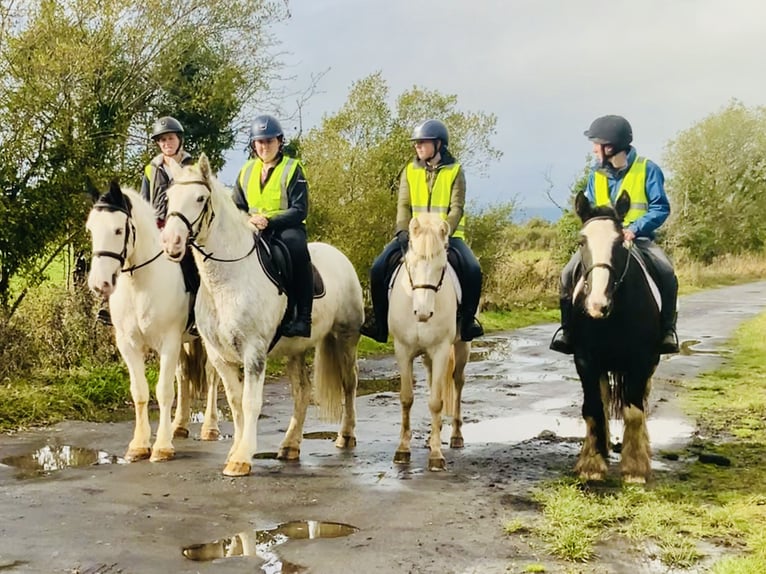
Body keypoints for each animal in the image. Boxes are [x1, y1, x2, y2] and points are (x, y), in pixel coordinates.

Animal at [86, 184, 222, 464]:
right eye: (91, 229)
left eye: (118, 230)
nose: (99, 284)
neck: (140, 283)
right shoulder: (128, 344)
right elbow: (140, 392)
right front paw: (139, 445)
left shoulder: (168, 342)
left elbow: (163, 391)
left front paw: (161, 447)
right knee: (183, 375)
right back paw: (179, 426)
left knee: (212, 375)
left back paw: (209, 428)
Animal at [160, 155, 364, 480]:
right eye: (168, 197)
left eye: (200, 198)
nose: (172, 242)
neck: (227, 278)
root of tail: (339, 256)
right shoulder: (219, 355)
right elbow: (235, 401)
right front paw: (235, 451)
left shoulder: (253, 351)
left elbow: (250, 402)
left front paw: (242, 459)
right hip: (297, 350)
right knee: (302, 392)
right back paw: (290, 446)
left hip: (345, 337)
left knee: (349, 383)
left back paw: (345, 436)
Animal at [392, 215, 472, 472]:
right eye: (411, 265)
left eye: (441, 268)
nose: (423, 312)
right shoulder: (403, 350)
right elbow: (406, 398)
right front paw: (402, 450)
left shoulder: (440, 351)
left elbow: (437, 402)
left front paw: (437, 455)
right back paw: (429, 437)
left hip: (461, 347)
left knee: (457, 383)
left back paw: (455, 435)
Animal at [568, 191, 660, 484]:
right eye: (582, 241)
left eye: (620, 243)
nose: (597, 304)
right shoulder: (585, 360)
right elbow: (594, 408)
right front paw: (592, 464)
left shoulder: (641, 361)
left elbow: (634, 412)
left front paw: (635, 468)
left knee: (640, 402)